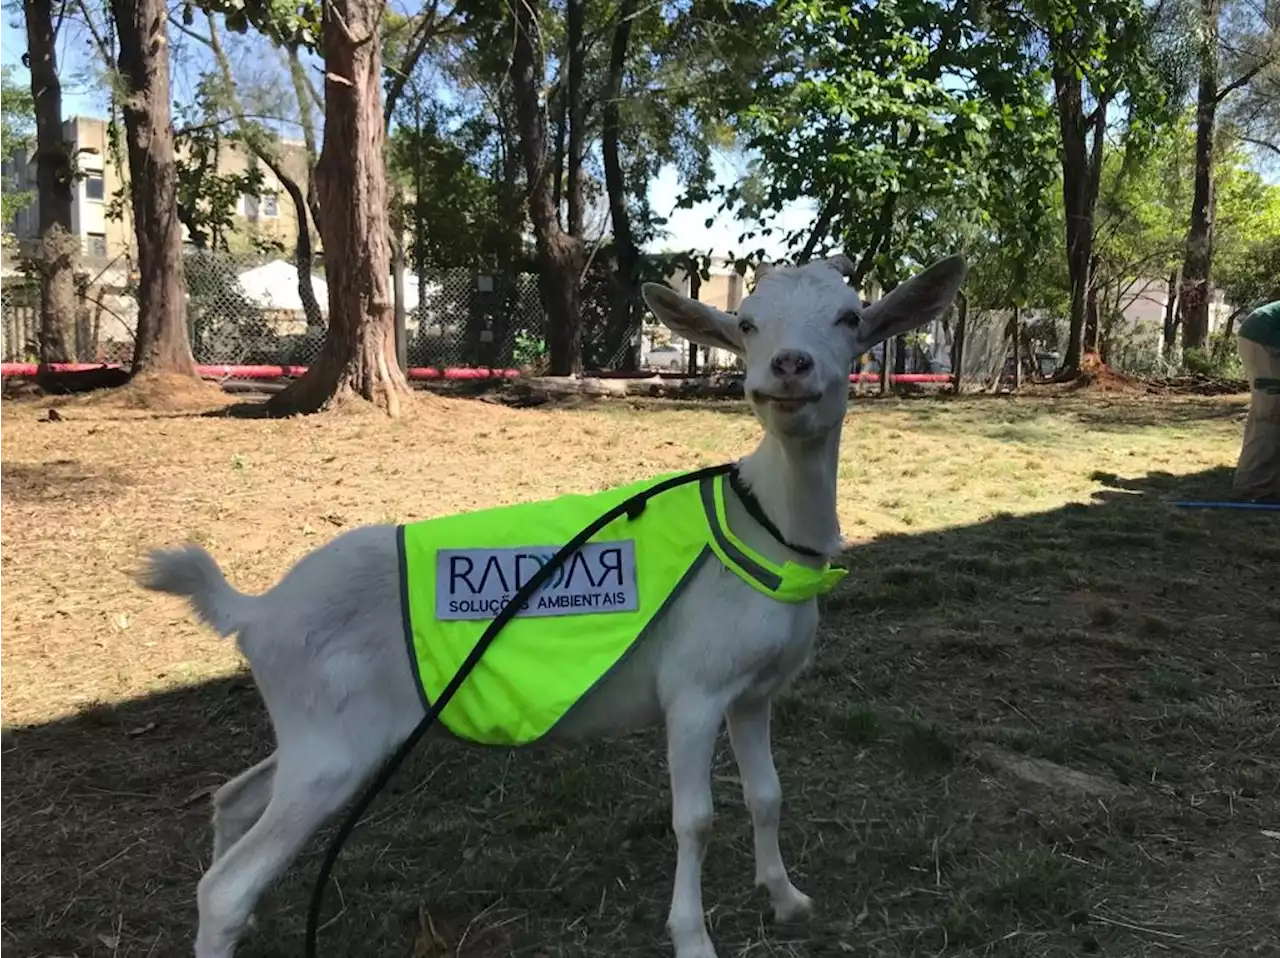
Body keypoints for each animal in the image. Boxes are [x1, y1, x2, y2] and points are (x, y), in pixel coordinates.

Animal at [140, 251, 962, 952]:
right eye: (749, 322)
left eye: (850, 317)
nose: (788, 368)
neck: (765, 527)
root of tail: (254, 611)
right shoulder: (693, 689)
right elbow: (694, 819)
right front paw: (692, 937)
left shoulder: (754, 691)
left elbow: (767, 794)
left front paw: (787, 897)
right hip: (334, 745)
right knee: (225, 887)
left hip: (315, 731)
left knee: (233, 800)